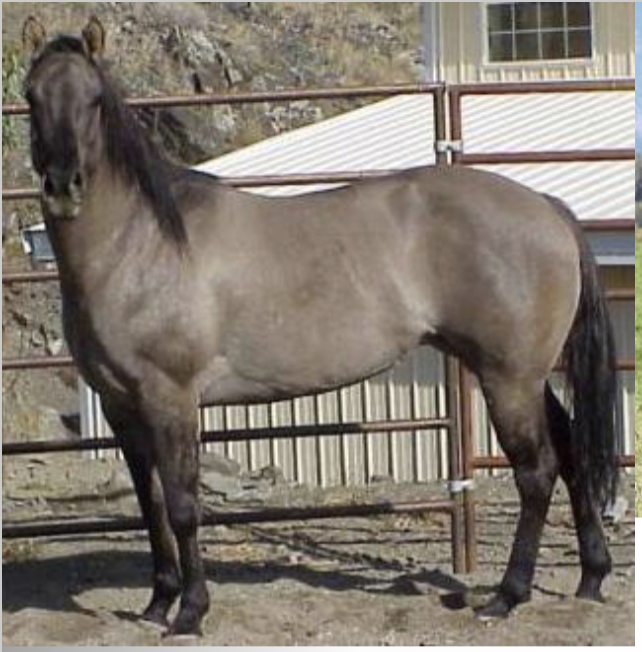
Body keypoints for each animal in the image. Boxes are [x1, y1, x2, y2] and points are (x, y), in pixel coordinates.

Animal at [22, 16, 618, 637]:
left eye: (94, 99)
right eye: (30, 97)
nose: (63, 187)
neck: (142, 243)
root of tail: (548, 208)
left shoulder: (172, 400)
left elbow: (183, 506)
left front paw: (189, 612)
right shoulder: (121, 406)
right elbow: (150, 504)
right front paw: (157, 602)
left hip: (509, 379)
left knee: (536, 472)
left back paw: (507, 595)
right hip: (523, 376)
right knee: (571, 453)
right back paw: (590, 578)